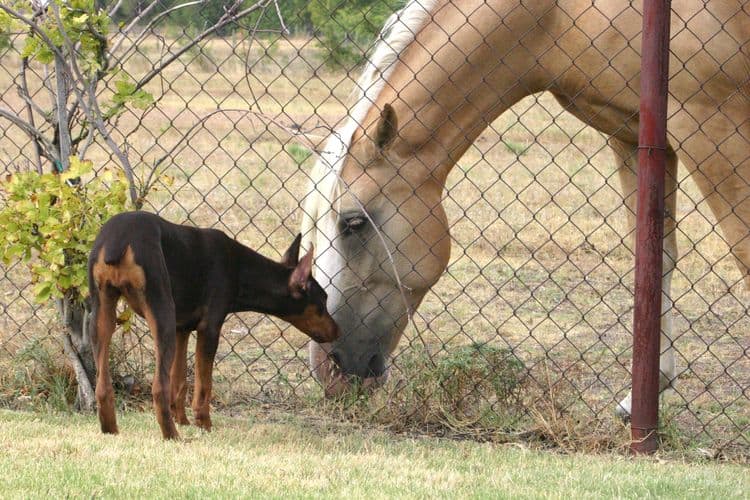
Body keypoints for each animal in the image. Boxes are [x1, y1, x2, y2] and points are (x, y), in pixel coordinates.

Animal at [87, 210, 340, 438]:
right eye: (323, 300)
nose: (337, 331)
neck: (240, 268)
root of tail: (118, 241)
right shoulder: (209, 329)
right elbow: (203, 385)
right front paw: (204, 425)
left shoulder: (182, 329)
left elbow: (180, 380)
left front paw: (183, 421)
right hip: (161, 314)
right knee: (159, 387)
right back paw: (172, 436)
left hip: (101, 314)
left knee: (102, 386)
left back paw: (110, 430)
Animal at [300, 0, 750, 418]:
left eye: (353, 223)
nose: (328, 368)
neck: (558, 15)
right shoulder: (634, 133)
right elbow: (657, 258)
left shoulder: (712, 125)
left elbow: (743, 251)